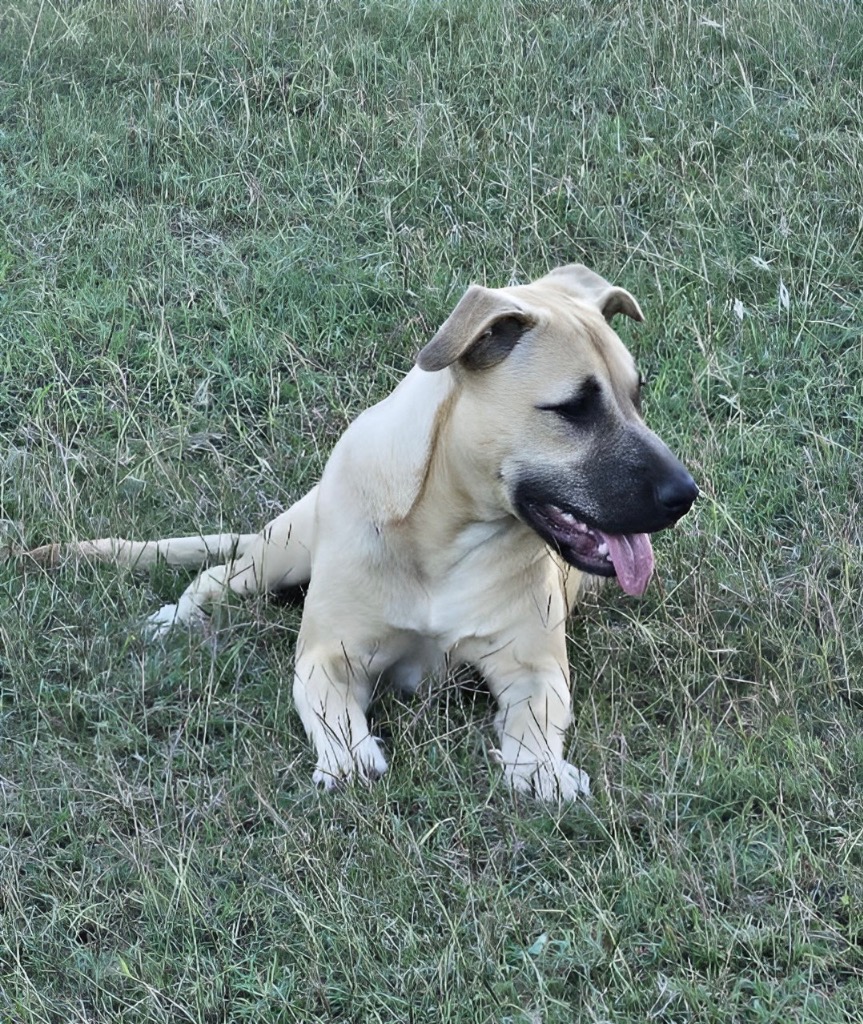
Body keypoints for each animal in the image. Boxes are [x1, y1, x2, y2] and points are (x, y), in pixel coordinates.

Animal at [22, 265, 697, 800]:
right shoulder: (329, 657)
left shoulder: (534, 669)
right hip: (281, 551)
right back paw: (179, 617)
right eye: (574, 408)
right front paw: (348, 756)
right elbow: (333, 713)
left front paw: (539, 768)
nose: (685, 495)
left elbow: (534, 718)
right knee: (216, 575)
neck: (443, 536)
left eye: (636, 396)